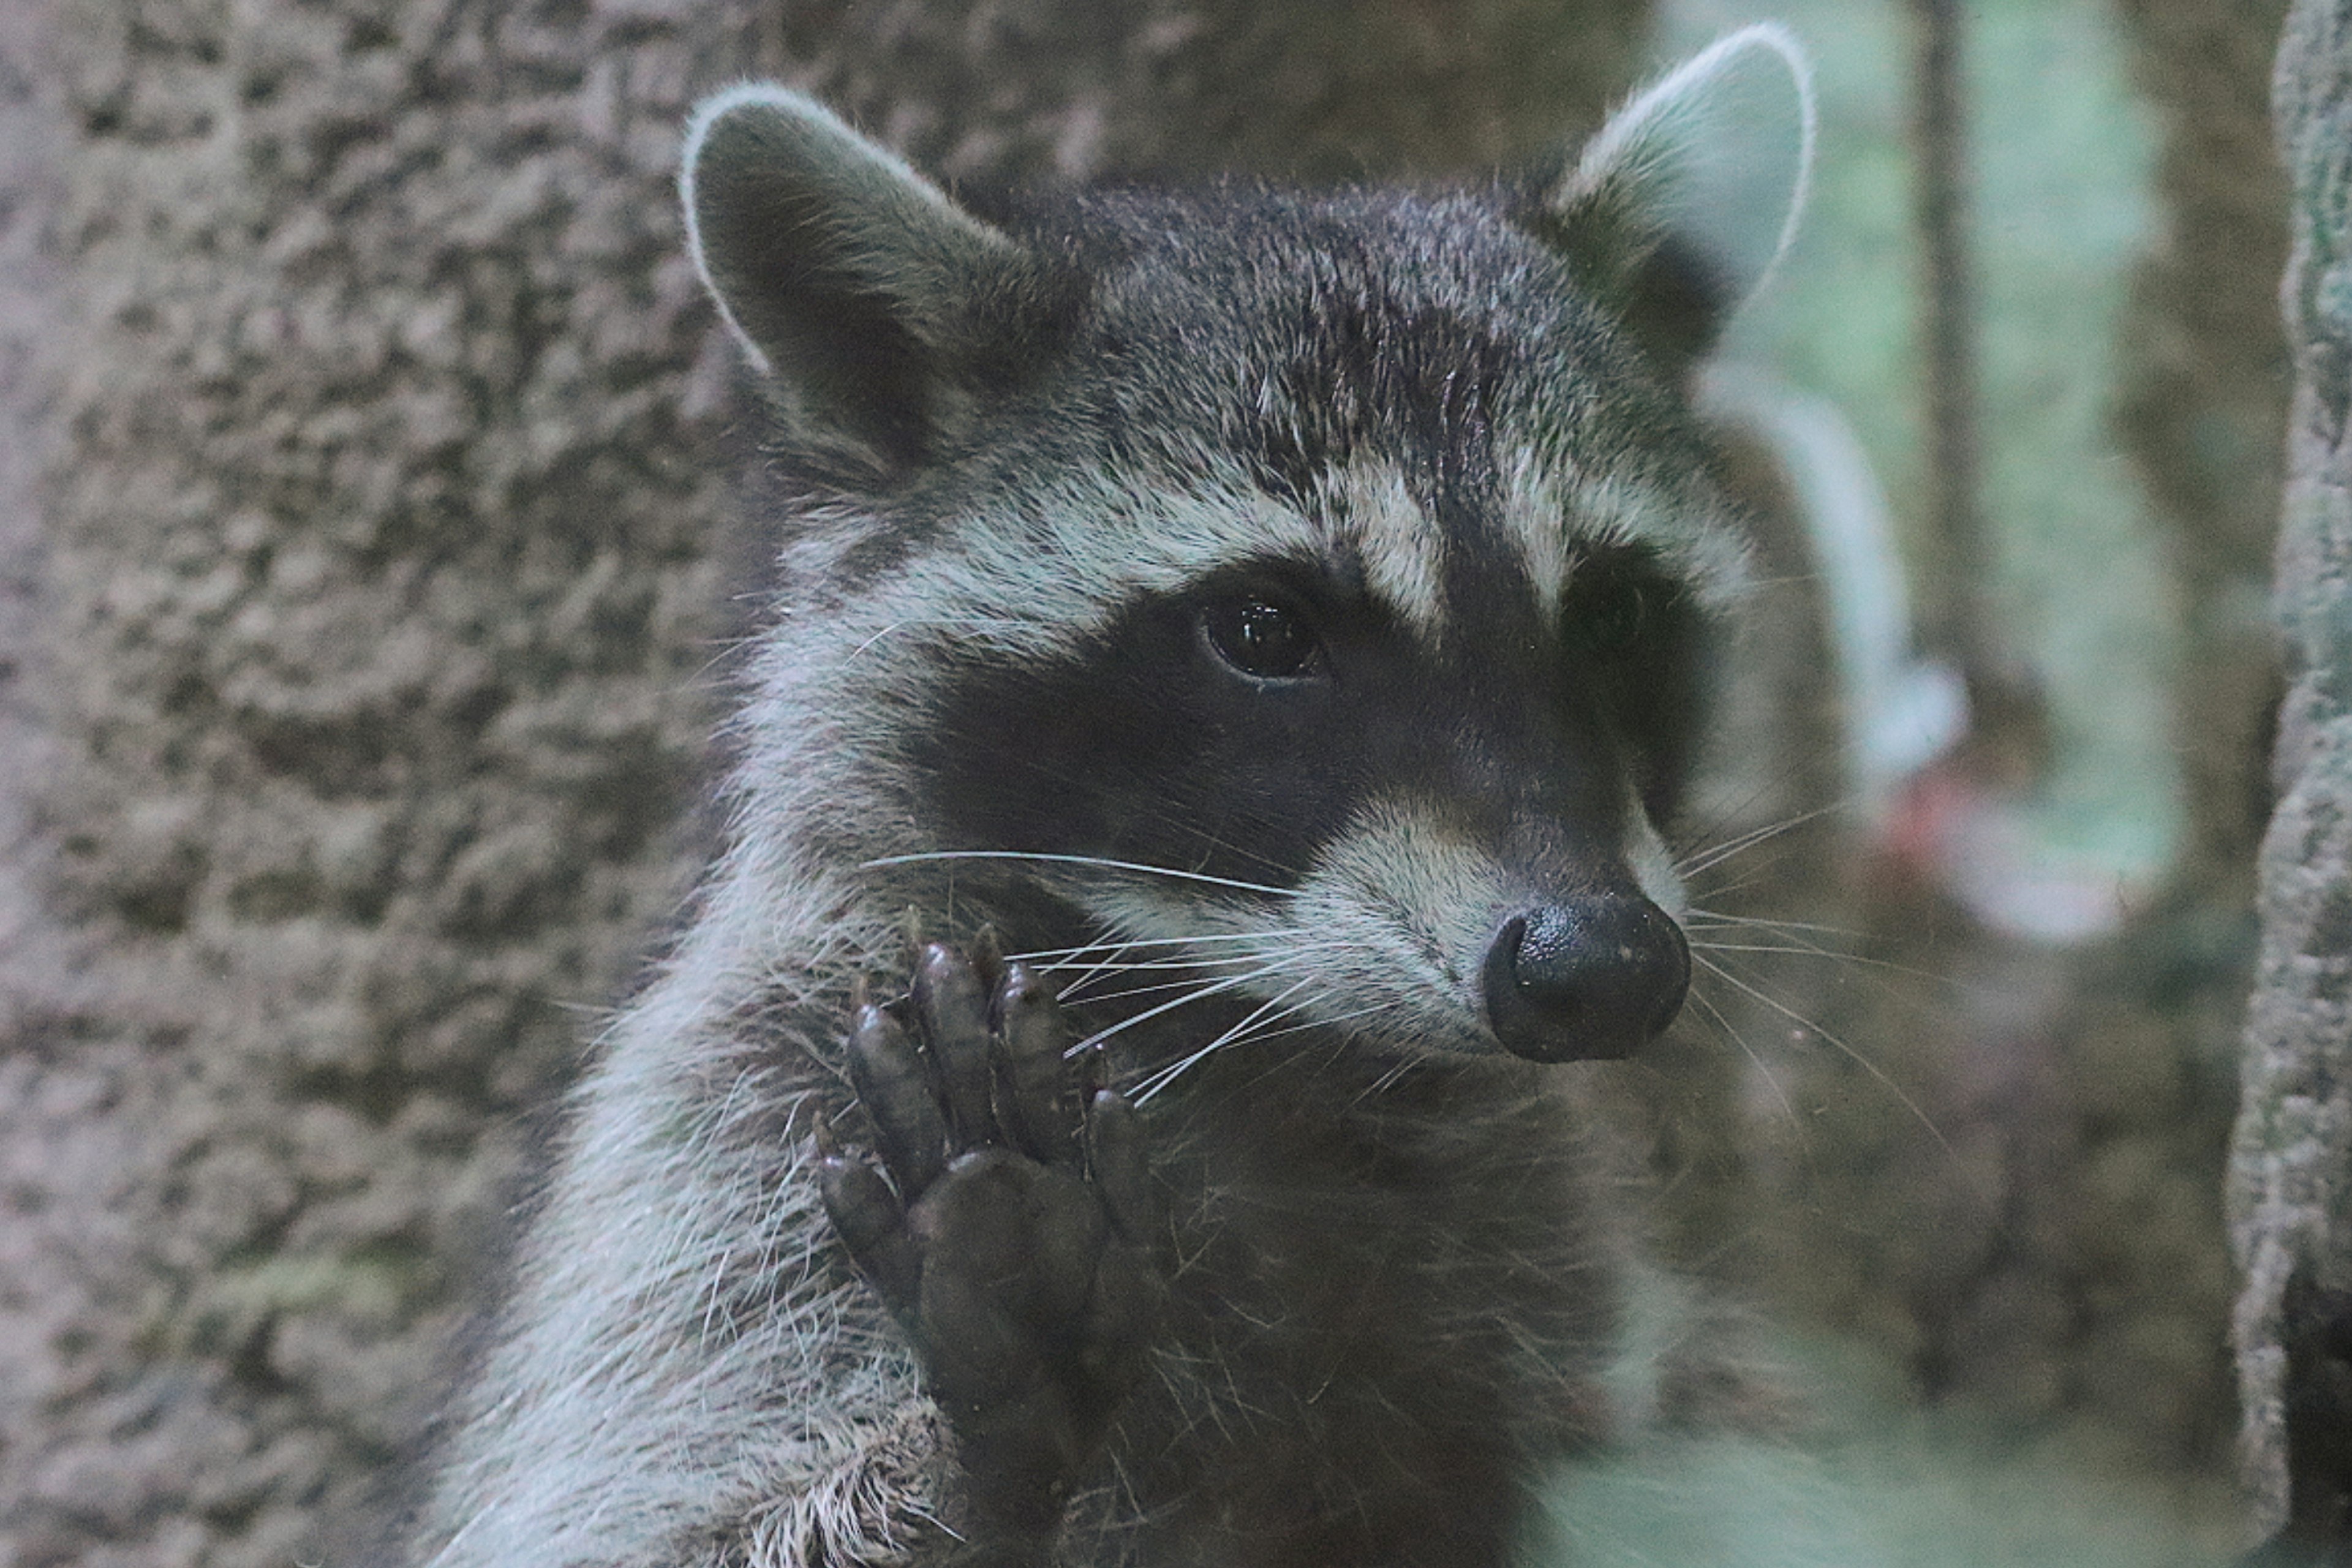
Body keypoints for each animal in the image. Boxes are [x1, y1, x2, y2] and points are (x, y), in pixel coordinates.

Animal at [413, 24, 1815, 1568]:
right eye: (1264, 628)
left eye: (1614, 613)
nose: (1601, 963)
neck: (1273, 1030)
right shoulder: (748, 1109)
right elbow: (635, 1509)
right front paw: (977, 1440)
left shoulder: (1521, 1240)